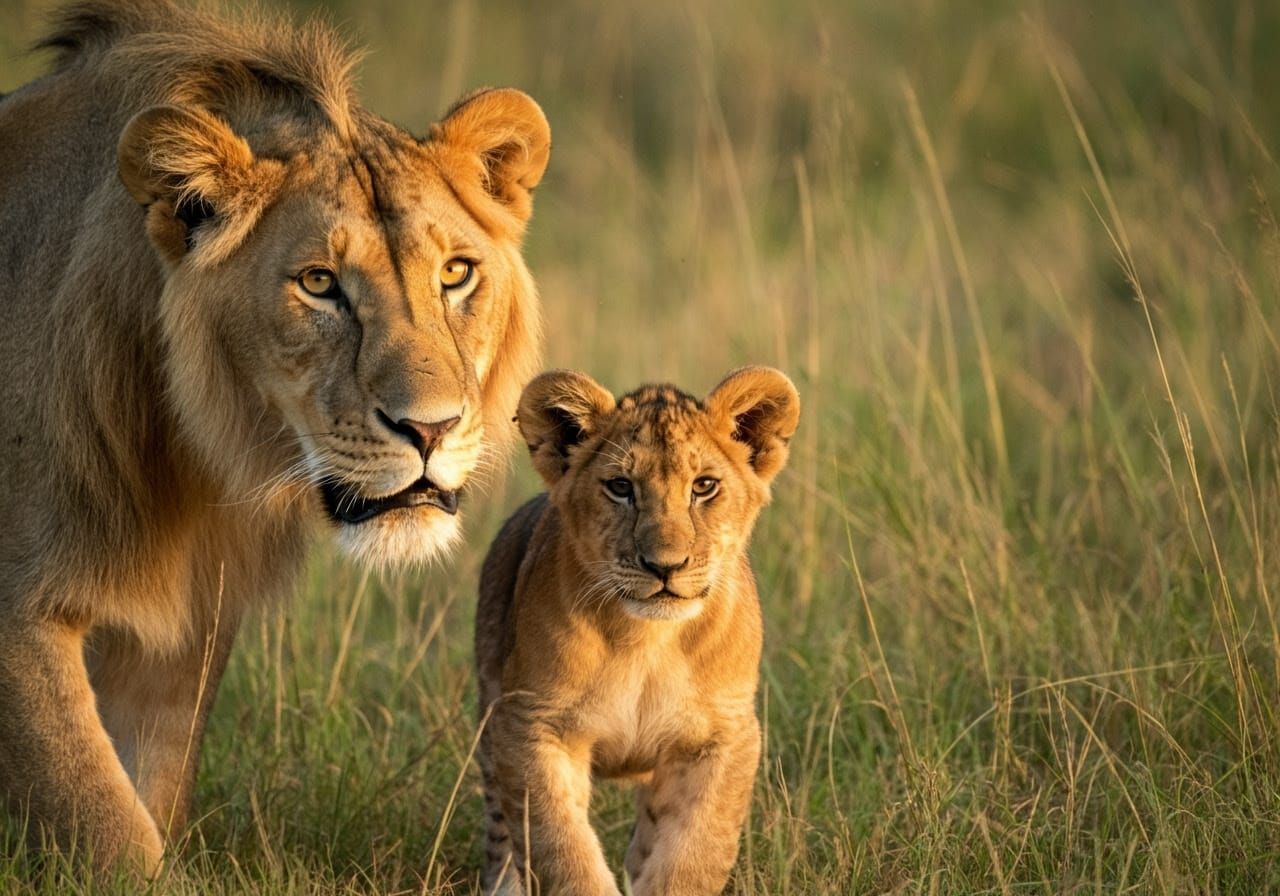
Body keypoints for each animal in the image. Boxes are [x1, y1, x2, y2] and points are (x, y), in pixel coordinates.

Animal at [0, 0, 549, 873]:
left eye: (456, 274)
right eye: (319, 285)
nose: (430, 428)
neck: (189, 461)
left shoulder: (183, 630)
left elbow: (147, 790)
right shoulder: (19, 614)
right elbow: (103, 819)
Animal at [474, 367, 800, 895]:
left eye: (704, 486)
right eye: (620, 487)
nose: (664, 566)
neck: (646, 641)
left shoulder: (725, 733)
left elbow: (696, 850)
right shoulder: (530, 724)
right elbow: (559, 845)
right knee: (501, 833)